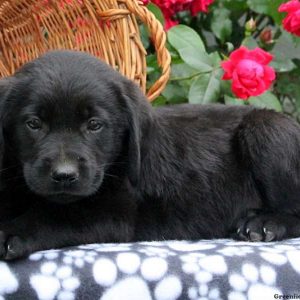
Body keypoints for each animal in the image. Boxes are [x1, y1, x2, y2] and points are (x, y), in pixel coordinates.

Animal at [0, 50, 300, 258]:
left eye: (95, 125)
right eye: (34, 124)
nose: (64, 175)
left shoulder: (114, 214)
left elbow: (54, 215)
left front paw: (12, 232)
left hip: (267, 129)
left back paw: (263, 222)